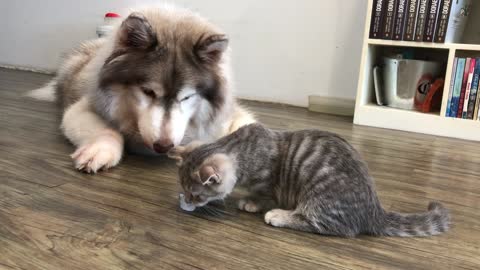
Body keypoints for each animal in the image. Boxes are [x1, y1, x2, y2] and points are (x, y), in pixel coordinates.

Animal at [169, 123, 450, 237]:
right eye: (186, 190)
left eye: (196, 194)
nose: (187, 202)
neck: (240, 147)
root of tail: (374, 210)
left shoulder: (267, 183)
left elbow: (262, 195)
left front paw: (252, 203)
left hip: (322, 197)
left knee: (329, 226)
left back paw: (279, 216)